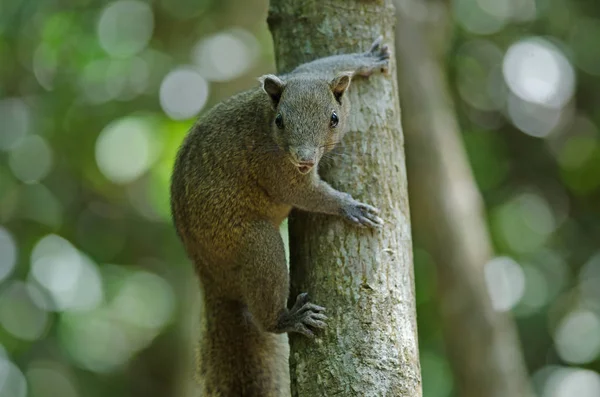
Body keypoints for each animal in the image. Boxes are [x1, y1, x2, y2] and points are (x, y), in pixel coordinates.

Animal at [171, 35, 392, 394]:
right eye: (280, 121)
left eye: (334, 118)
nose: (304, 159)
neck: (264, 117)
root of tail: (209, 273)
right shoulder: (274, 169)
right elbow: (304, 194)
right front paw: (350, 207)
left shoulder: (310, 72)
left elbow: (324, 63)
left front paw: (368, 59)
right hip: (255, 242)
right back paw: (287, 318)